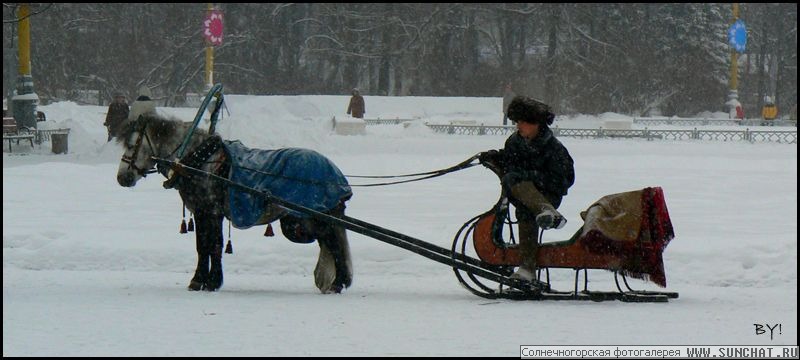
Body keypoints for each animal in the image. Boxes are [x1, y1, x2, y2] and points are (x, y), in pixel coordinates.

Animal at [117, 114, 354, 294]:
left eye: (130, 145)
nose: (121, 178)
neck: (200, 161)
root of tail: (336, 174)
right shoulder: (207, 213)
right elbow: (206, 246)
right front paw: (205, 280)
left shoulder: (209, 211)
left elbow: (210, 245)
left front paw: (206, 281)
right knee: (329, 242)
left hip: (309, 220)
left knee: (333, 243)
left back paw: (337, 282)